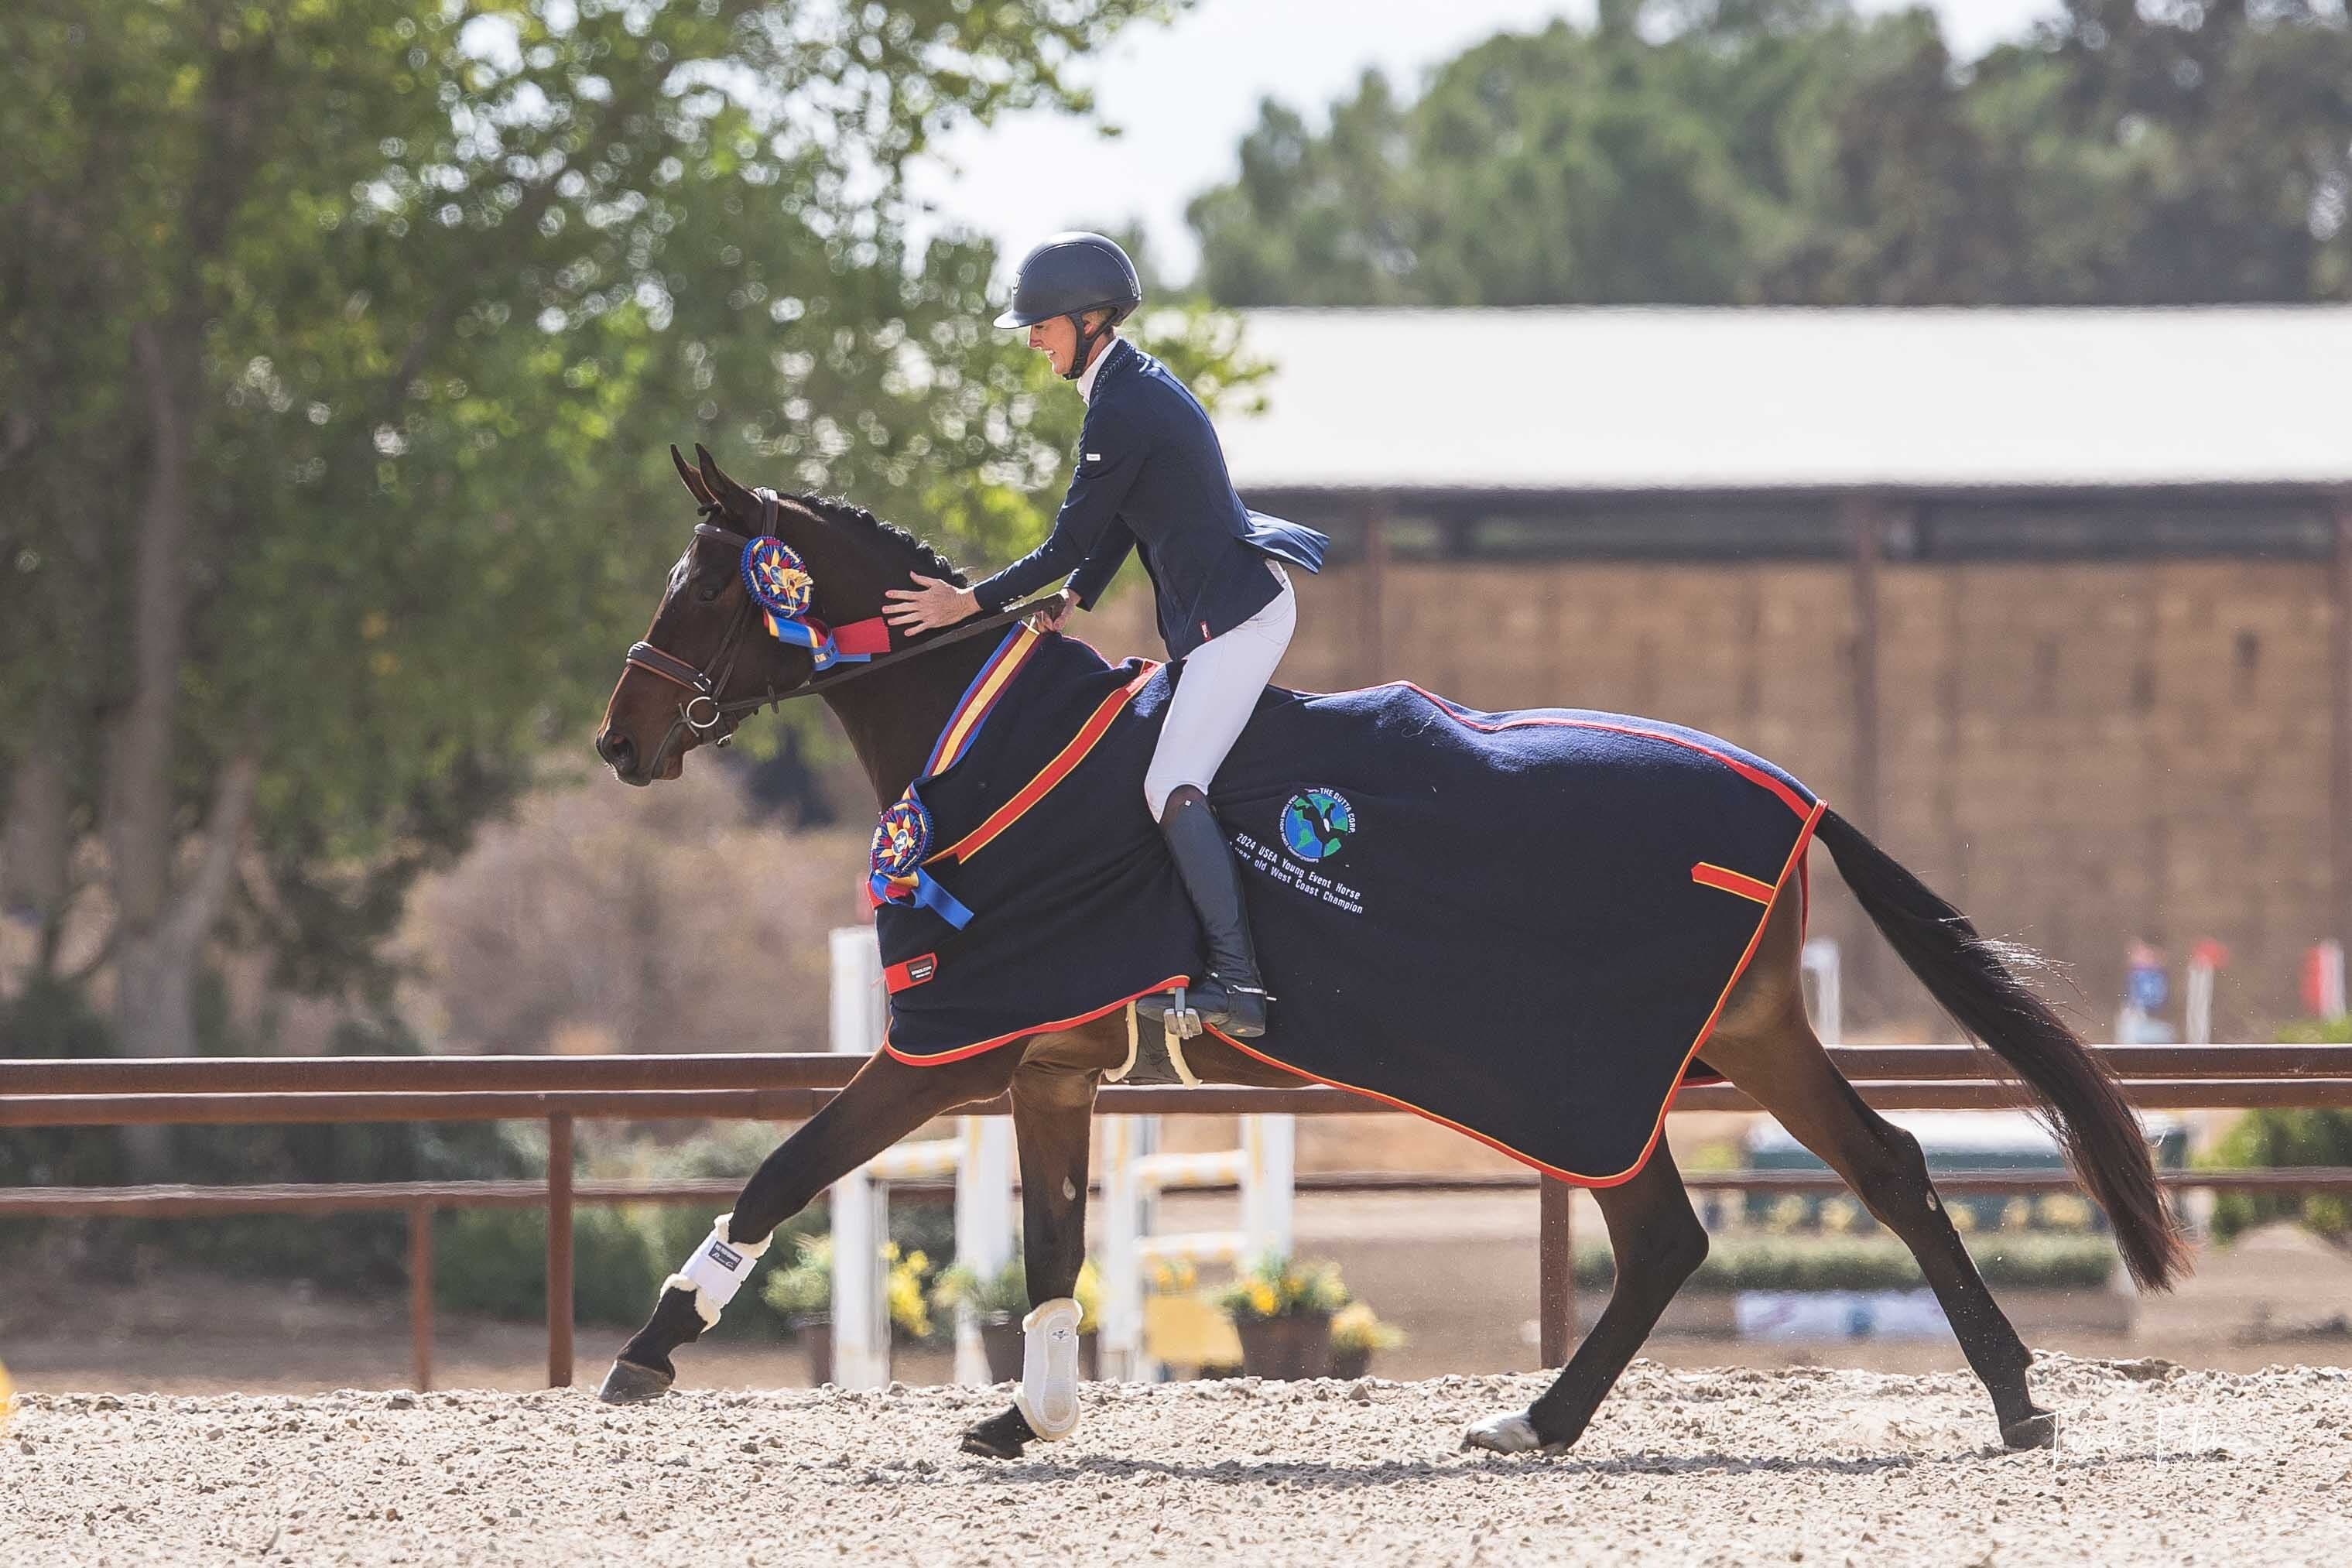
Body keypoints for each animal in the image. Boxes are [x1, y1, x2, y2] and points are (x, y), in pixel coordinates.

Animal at [590, 445, 2186, 1460]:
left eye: (707, 590)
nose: (618, 742)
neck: (978, 733)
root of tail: (1785, 792)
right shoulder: (1042, 1060)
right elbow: (1046, 1243)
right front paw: (1025, 1413)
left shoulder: (954, 1038)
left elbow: (790, 1163)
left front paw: (653, 1344)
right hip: (1723, 1040)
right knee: (1824, 1187)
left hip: (1596, 1068)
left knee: (1709, 1219)